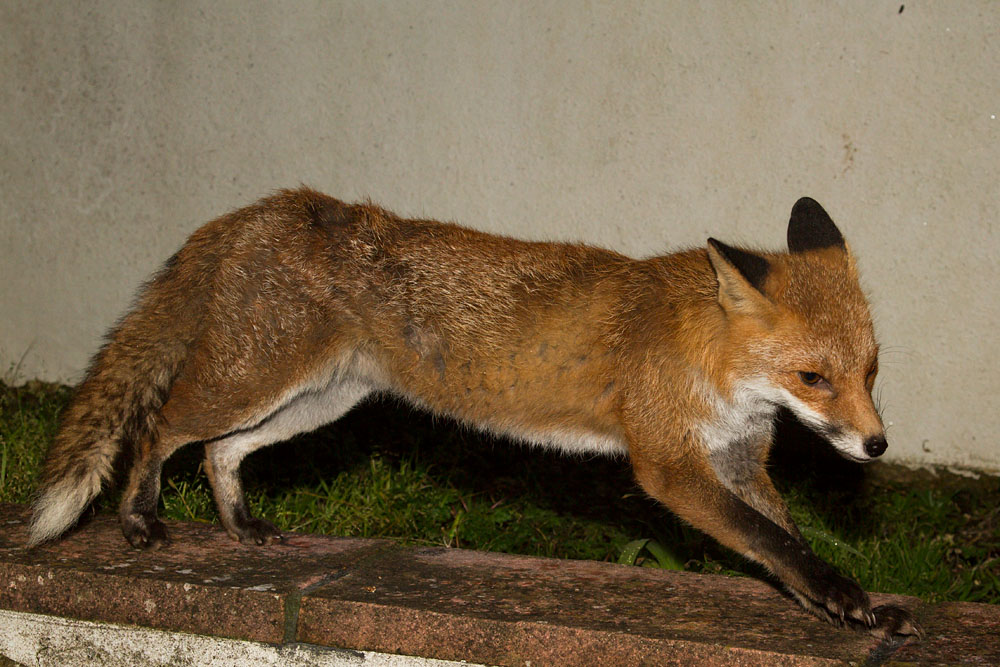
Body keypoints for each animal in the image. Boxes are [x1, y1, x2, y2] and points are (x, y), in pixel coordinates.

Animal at [29, 188, 921, 639]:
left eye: (870, 371)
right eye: (813, 376)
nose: (876, 444)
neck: (716, 363)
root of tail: (272, 204)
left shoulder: (736, 457)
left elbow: (783, 539)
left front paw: (837, 602)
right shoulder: (670, 463)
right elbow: (770, 539)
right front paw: (835, 597)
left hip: (315, 400)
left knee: (222, 451)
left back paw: (241, 525)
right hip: (250, 378)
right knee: (160, 426)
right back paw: (139, 518)